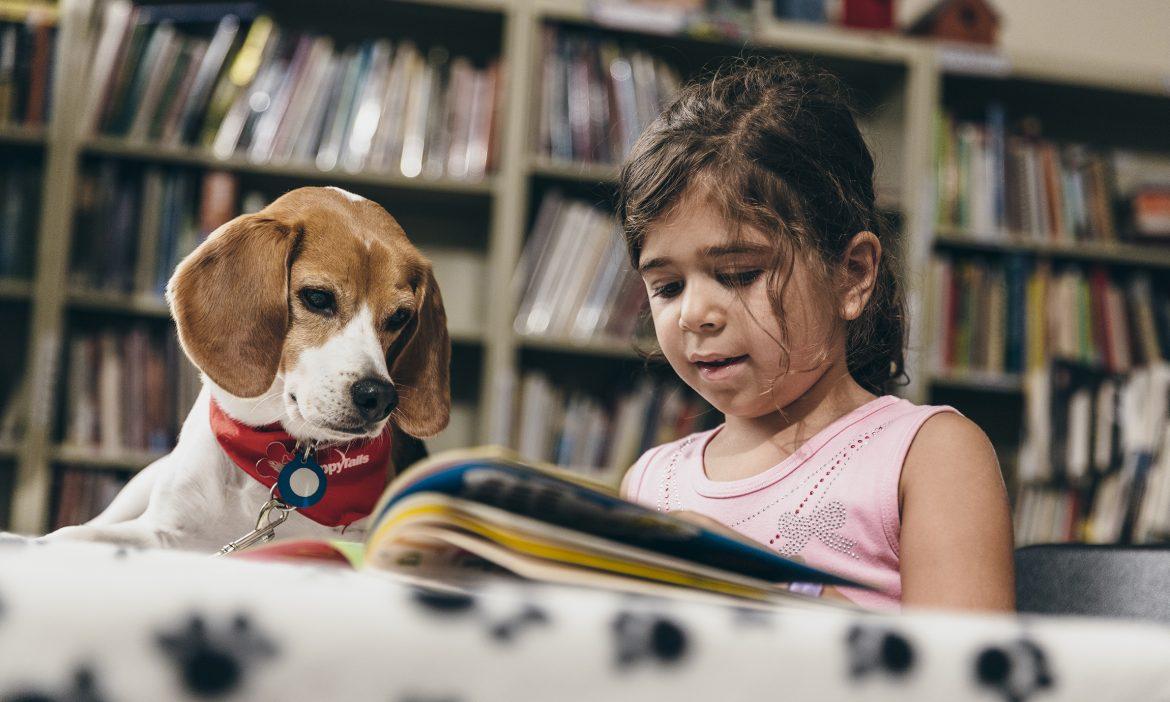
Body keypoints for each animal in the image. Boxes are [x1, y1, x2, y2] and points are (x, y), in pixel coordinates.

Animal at [42, 188, 451, 554]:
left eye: (400, 317)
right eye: (318, 297)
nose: (378, 396)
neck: (283, 454)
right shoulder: (161, 532)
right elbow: (66, 535)